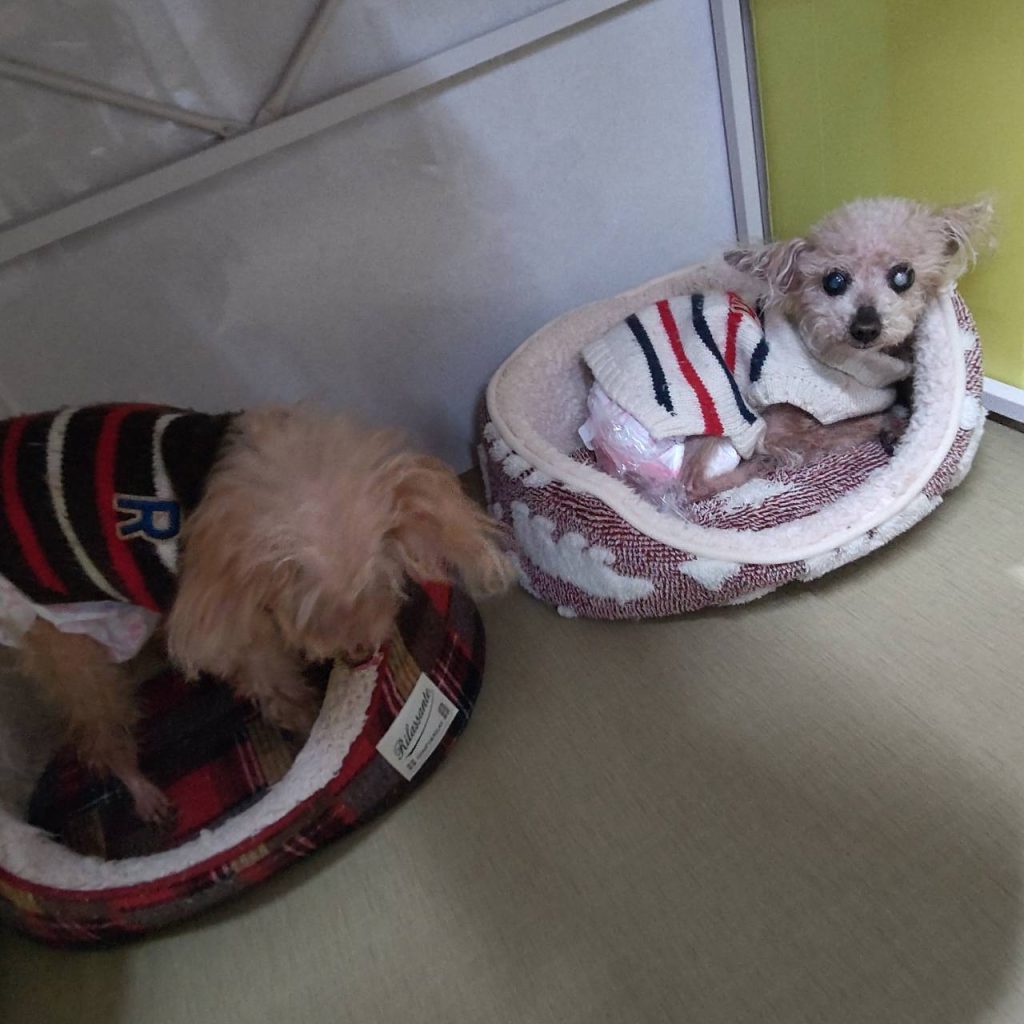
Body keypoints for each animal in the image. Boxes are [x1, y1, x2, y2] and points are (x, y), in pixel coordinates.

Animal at [6, 405, 512, 821]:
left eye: (379, 585)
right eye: (312, 614)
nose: (361, 653)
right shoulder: (240, 636)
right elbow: (278, 688)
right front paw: (313, 731)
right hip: (70, 648)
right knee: (98, 734)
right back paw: (143, 792)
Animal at [675, 196, 995, 500]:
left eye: (903, 276)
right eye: (834, 281)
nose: (865, 327)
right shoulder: (781, 424)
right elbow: (833, 431)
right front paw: (890, 424)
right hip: (723, 405)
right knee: (691, 484)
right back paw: (754, 468)